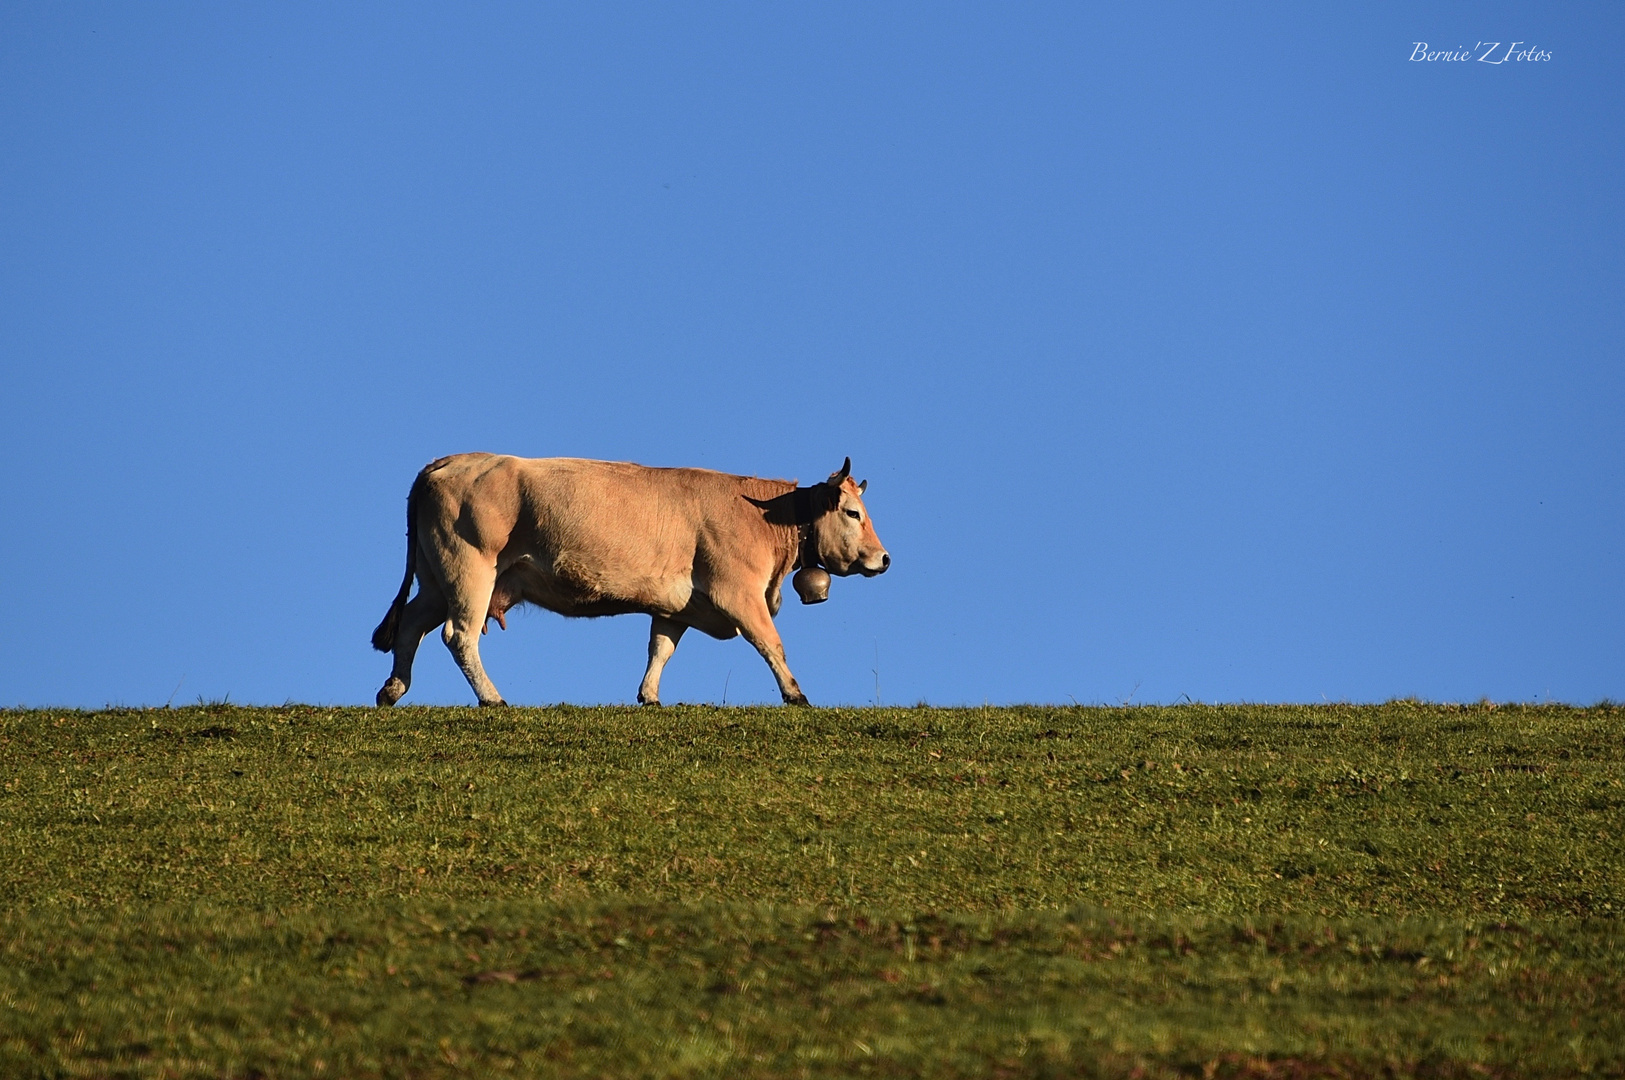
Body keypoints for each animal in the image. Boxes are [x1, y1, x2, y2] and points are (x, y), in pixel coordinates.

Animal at [372, 451, 890, 708]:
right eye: (852, 513)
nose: (884, 559)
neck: (763, 515)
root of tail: (450, 460)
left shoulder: (676, 604)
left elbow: (660, 648)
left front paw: (650, 697)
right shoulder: (738, 592)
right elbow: (771, 643)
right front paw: (796, 694)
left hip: (436, 580)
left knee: (412, 624)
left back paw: (393, 689)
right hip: (469, 570)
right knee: (457, 635)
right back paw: (493, 699)